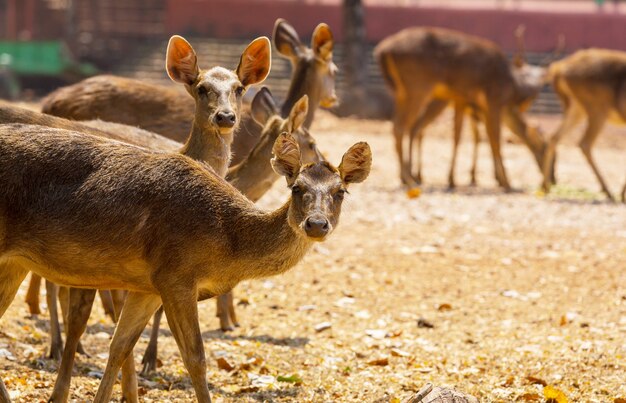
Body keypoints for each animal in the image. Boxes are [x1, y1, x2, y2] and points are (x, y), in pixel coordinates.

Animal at [0, 121, 370, 402]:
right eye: (296, 188)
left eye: (340, 191)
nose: (316, 224)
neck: (226, 244)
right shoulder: (175, 274)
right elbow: (196, 358)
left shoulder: (147, 286)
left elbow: (118, 348)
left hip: (14, 263)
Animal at [372, 26, 544, 189]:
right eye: (545, 147)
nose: (548, 179)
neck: (510, 87)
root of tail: (383, 50)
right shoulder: (491, 101)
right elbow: (493, 139)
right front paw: (505, 182)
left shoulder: (464, 102)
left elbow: (466, 136)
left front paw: (458, 178)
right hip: (418, 88)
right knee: (403, 126)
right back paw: (409, 178)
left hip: (402, 92)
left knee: (409, 126)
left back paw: (411, 176)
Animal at [540, 49, 624, 202]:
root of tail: (559, 68)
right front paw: (622, 194)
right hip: (597, 109)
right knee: (585, 143)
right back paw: (608, 191)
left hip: (576, 107)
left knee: (554, 137)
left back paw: (545, 186)